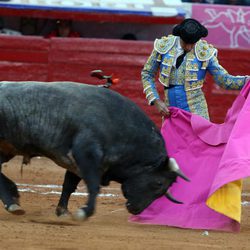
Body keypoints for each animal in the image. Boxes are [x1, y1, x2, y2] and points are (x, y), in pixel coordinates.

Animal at [0, 81, 188, 220]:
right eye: (159, 183)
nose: (137, 210)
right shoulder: (86, 154)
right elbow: (93, 185)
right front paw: (84, 212)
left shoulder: (76, 160)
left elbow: (69, 185)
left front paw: (63, 211)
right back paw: (12, 201)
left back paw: (13, 199)